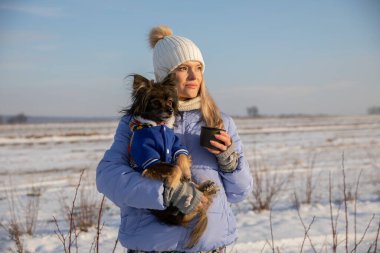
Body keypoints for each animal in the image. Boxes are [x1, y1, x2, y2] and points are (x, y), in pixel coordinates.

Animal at [124, 74, 218, 248]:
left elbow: (182, 157)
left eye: (169, 102)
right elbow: (174, 168)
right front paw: (173, 183)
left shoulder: (175, 144)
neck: (157, 126)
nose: (170, 110)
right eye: (155, 102)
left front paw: (185, 173)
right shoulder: (150, 160)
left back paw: (206, 187)